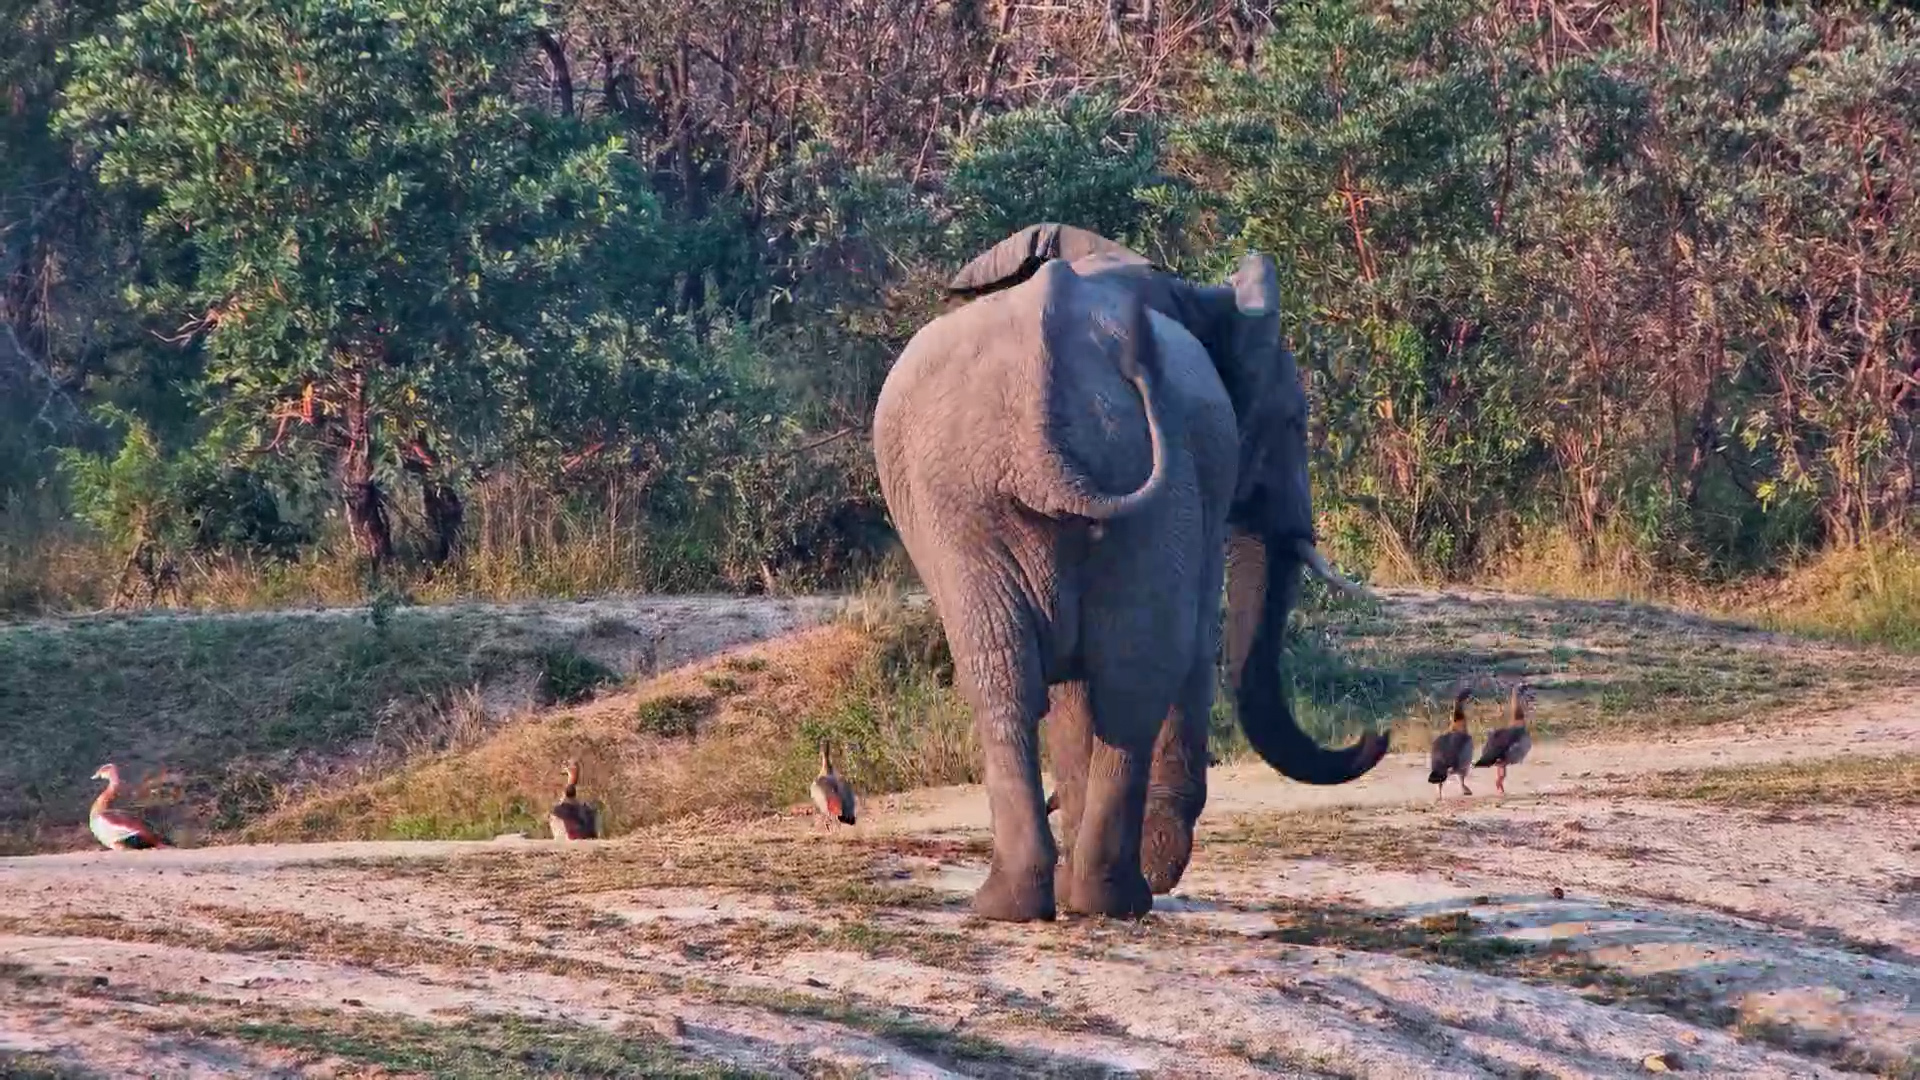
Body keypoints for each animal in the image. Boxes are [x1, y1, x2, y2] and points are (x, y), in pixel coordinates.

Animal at [870, 223, 1389, 922]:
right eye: (1293, 421)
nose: (1374, 735)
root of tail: (1042, 407)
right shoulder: (1204, 479)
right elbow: (1190, 640)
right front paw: (1160, 862)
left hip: (967, 500)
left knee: (1012, 676)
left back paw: (1033, 901)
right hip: (1057, 491)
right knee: (1131, 672)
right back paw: (1116, 895)